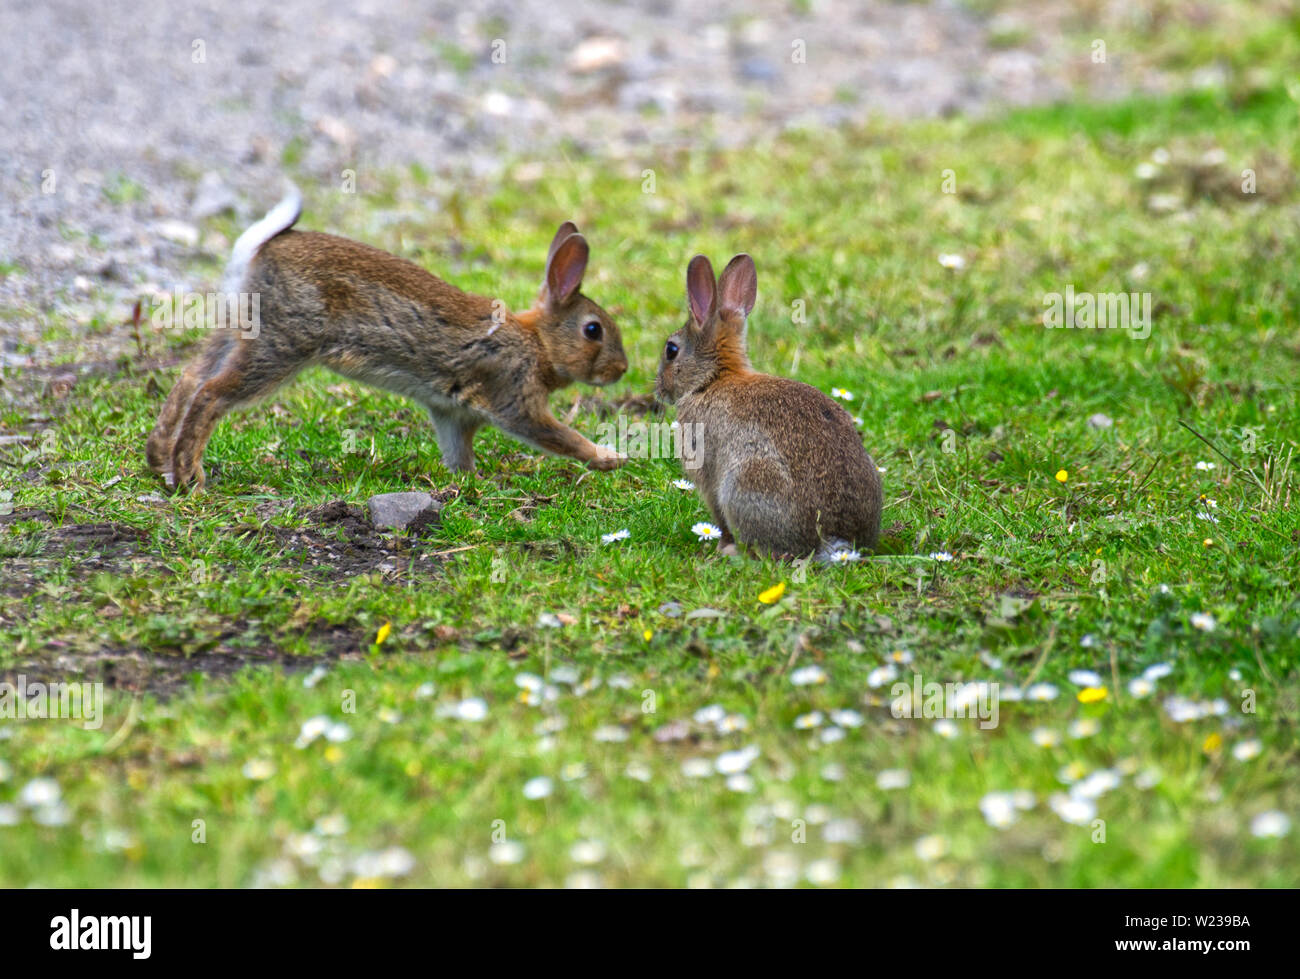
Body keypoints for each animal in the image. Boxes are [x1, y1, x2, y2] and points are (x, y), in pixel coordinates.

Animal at [144, 183, 626, 488]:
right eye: (593, 330)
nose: (621, 370)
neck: (538, 344)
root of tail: (261, 249)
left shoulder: (452, 415)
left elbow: (459, 453)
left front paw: (469, 482)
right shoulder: (516, 398)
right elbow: (558, 435)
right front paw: (610, 458)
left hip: (240, 326)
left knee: (191, 377)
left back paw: (159, 460)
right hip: (280, 345)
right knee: (212, 393)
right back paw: (189, 476)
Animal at [650, 252, 883, 556]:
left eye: (671, 350)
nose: (659, 390)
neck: (712, 379)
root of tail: (835, 539)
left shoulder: (708, 474)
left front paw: (721, 547)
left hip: (745, 483)